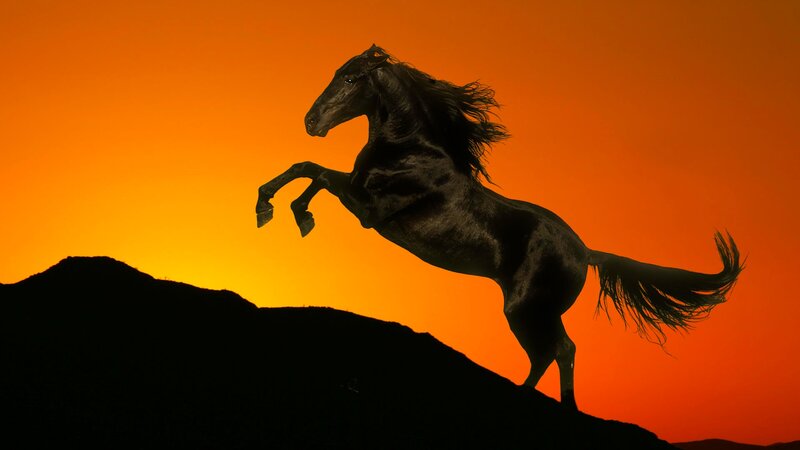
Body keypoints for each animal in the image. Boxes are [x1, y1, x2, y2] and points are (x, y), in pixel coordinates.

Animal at [255, 45, 743, 410]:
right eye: (338, 73)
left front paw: (292, 215)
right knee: (556, 351)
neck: (409, 150)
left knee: (557, 350)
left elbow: (315, 173)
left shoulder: (368, 210)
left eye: (352, 79)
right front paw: (270, 209)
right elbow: (305, 168)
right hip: (535, 310)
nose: (311, 122)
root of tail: (586, 252)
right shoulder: (359, 196)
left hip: (526, 308)